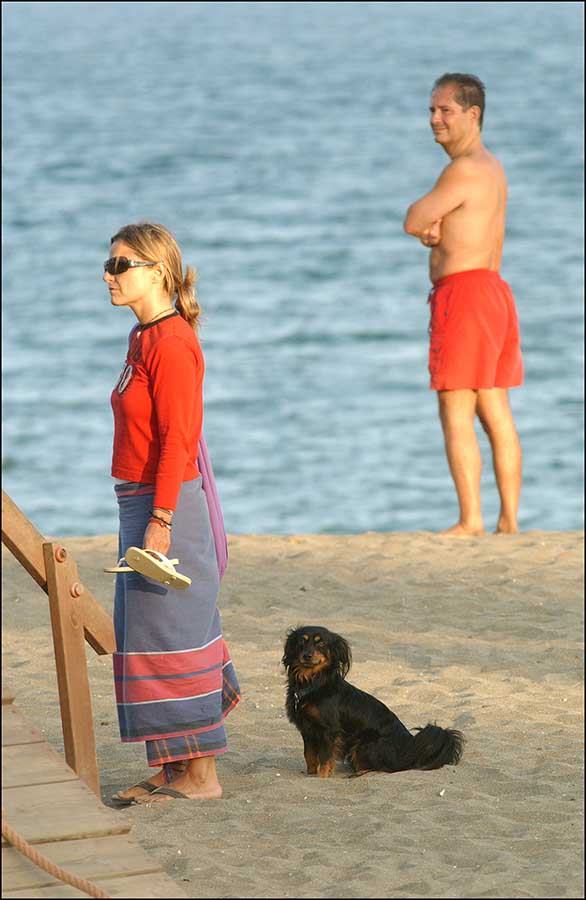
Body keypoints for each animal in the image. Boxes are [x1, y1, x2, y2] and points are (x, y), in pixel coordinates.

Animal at [280, 624, 464, 780]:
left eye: (321, 643)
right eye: (301, 642)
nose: (307, 655)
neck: (312, 684)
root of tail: (409, 750)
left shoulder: (329, 731)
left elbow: (325, 759)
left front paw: (322, 778)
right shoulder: (307, 730)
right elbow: (309, 756)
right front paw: (310, 775)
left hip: (364, 745)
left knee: (382, 768)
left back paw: (358, 774)